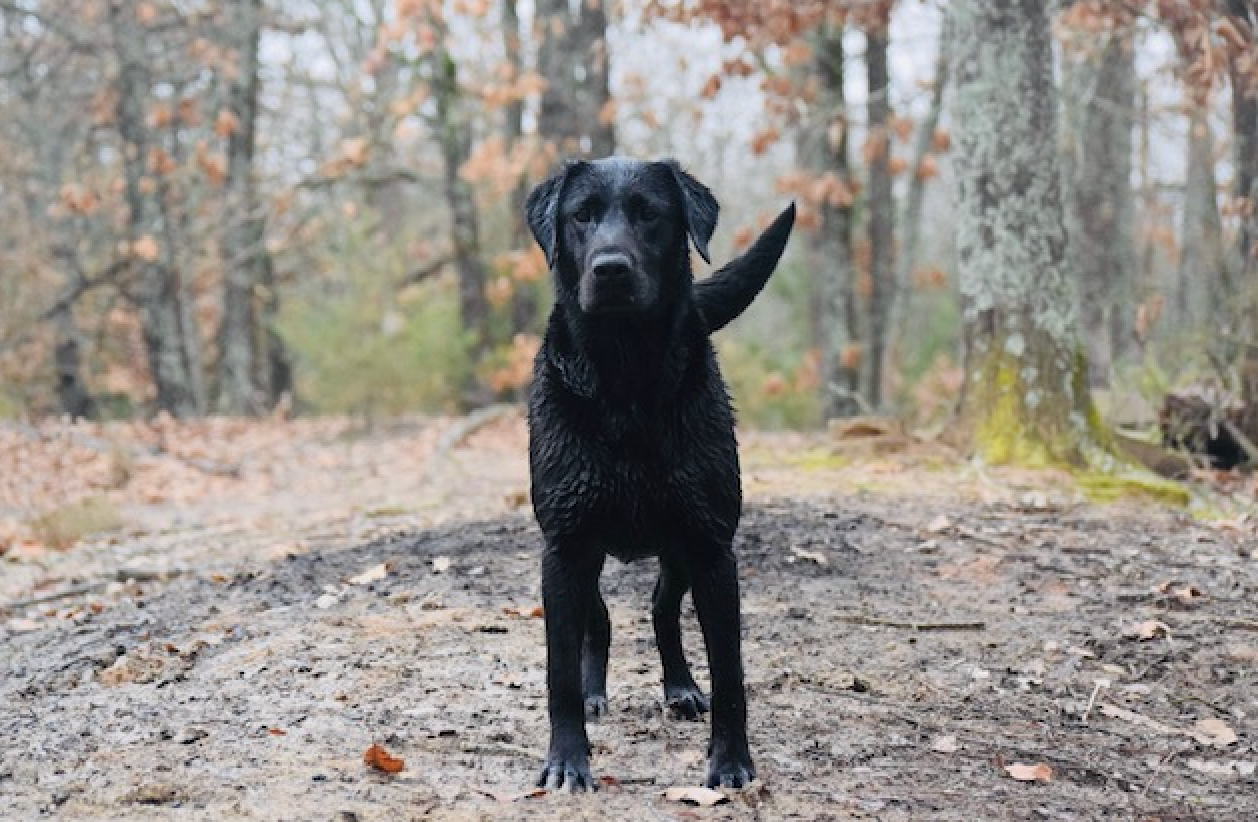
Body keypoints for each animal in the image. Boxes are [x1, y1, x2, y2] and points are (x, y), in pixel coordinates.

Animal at [523, 155, 795, 790]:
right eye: (581, 216)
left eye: (650, 214)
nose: (611, 269)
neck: (625, 381)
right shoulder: (564, 545)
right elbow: (558, 672)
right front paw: (567, 762)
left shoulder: (713, 547)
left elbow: (730, 674)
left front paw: (731, 763)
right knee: (599, 622)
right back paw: (595, 693)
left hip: (677, 553)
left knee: (662, 609)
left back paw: (680, 687)